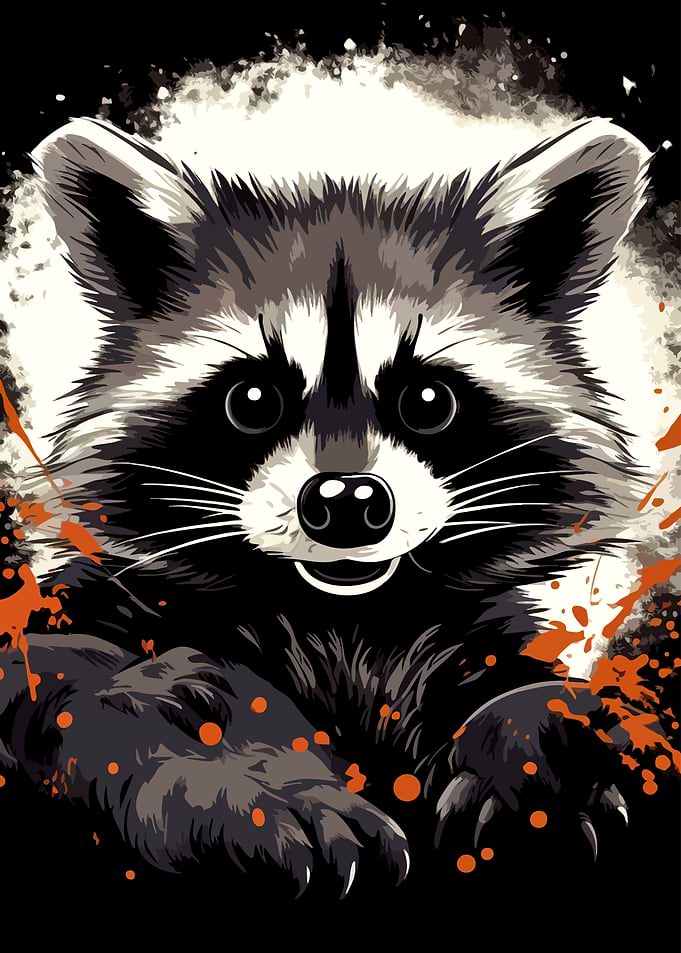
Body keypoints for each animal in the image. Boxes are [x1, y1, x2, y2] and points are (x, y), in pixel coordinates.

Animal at [0, 54, 676, 896]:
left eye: (427, 399)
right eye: (253, 399)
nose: (347, 502)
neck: (346, 622)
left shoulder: (465, 639)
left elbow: (532, 690)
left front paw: (535, 748)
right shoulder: (99, 615)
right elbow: (91, 678)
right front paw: (245, 779)